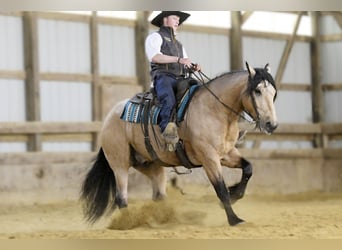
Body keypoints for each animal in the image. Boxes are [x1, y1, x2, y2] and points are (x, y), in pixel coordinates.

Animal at [81, 61, 280, 226]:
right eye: (257, 91)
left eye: (273, 93)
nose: (271, 124)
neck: (214, 109)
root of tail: (109, 117)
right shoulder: (209, 158)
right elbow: (221, 189)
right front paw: (234, 219)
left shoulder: (226, 153)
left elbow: (248, 168)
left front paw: (235, 194)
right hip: (120, 165)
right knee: (121, 198)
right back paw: (127, 222)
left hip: (151, 165)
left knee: (159, 195)